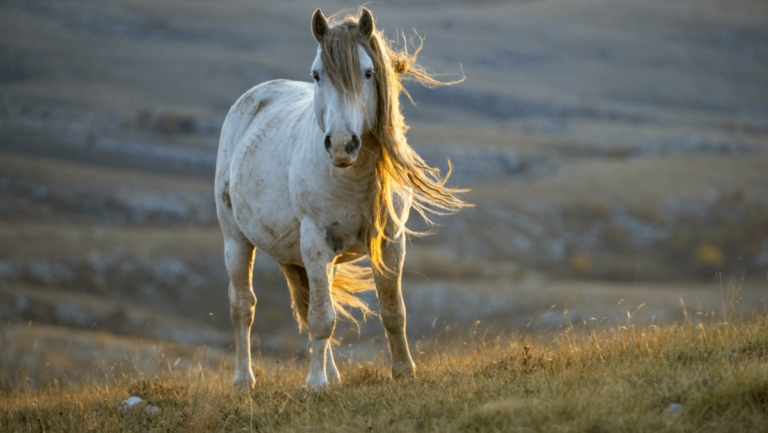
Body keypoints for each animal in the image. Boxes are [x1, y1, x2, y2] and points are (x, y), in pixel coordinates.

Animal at [215, 7, 467, 391]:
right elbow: (321, 317)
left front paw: (403, 370)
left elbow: (392, 310)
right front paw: (315, 383)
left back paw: (333, 376)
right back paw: (245, 380)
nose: (341, 144)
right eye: (317, 75)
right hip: (237, 240)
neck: (354, 177)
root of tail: (254, 97)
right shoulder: (315, 242)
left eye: (368, 72)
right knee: (244, 306)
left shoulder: (391, 242)